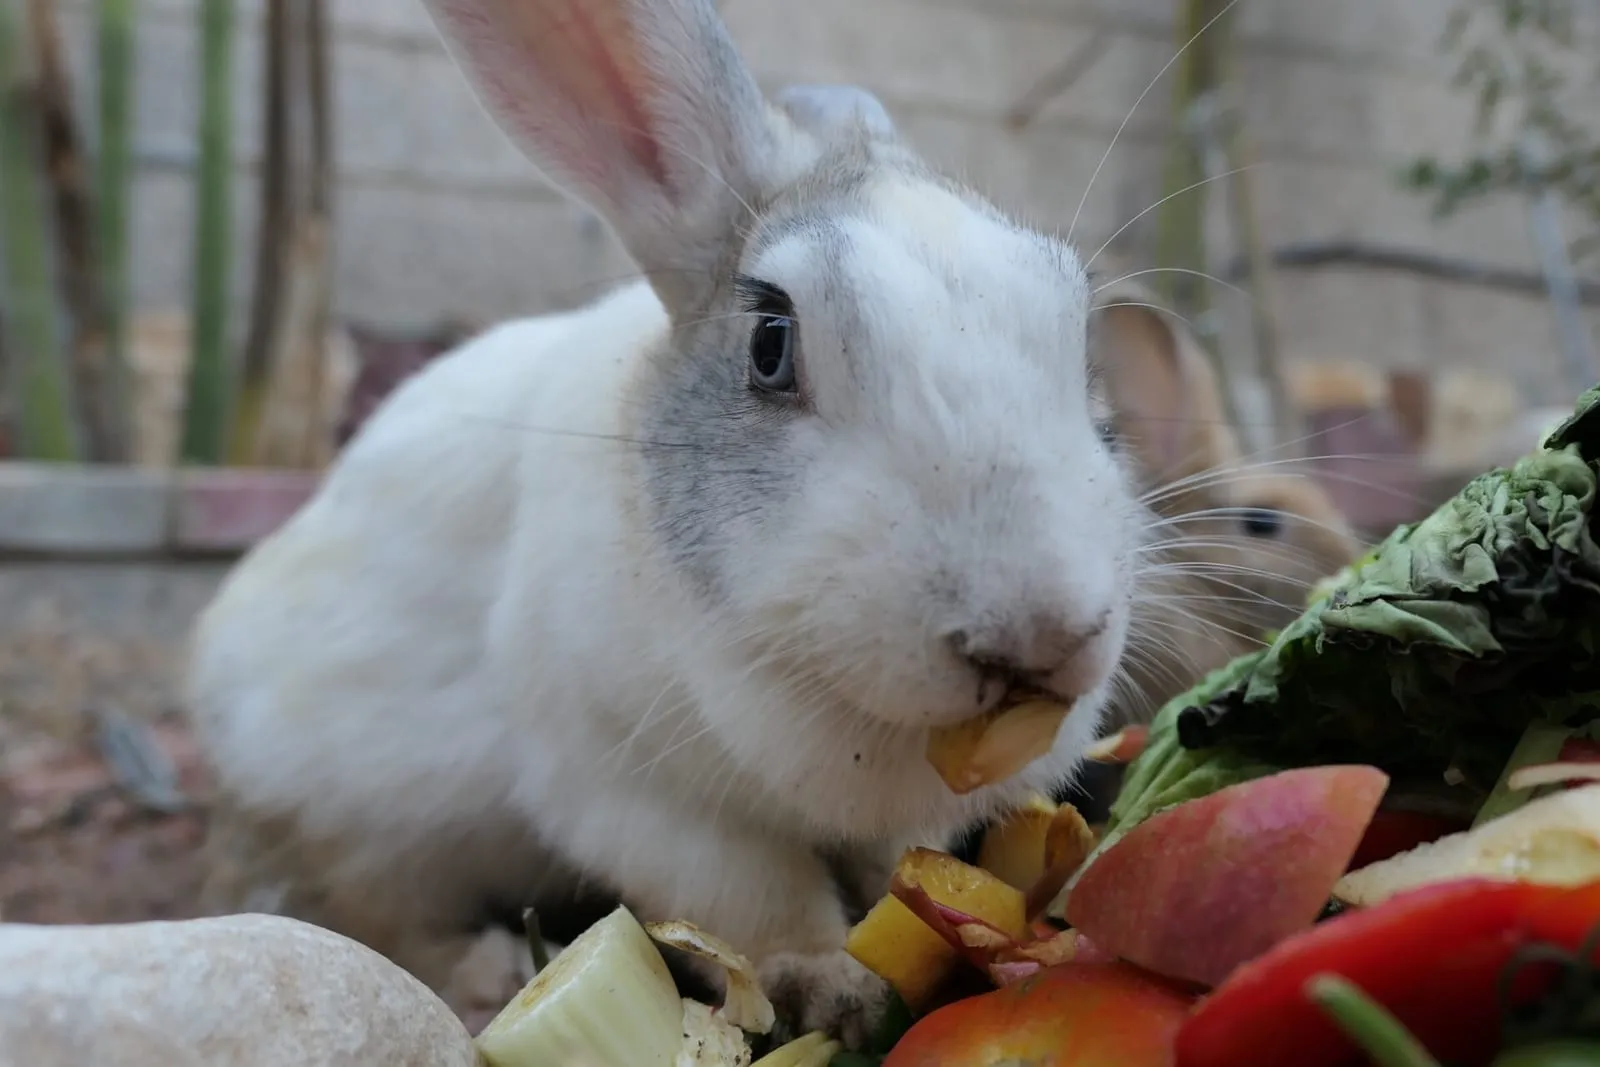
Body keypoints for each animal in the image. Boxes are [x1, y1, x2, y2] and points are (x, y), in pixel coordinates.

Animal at [183, 0, 1151, 1045]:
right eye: (771, 342)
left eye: (1080, 337)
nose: (1042, 632)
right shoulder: (631, 791)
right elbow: (753, 898)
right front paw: (834, 987)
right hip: (356, 825)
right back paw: (481, 970)